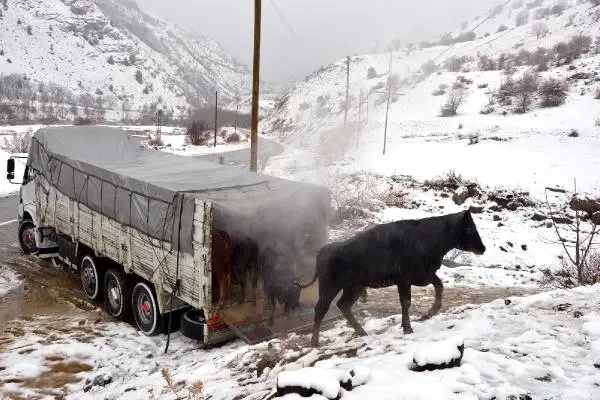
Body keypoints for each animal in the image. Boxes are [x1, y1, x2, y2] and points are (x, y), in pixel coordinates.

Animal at [302, 209, 486, 346]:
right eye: (471, 228)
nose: (482, 248)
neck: (429, 237)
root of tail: (324, 249)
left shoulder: (425, 275)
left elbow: (439, 286)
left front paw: (429, 313)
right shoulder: (404, 280)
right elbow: (406, 302)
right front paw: (408, 328)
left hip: (355, 286)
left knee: (343, 305)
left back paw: (362, 332)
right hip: (330, 287)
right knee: (321, 309)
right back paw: (315, 342)